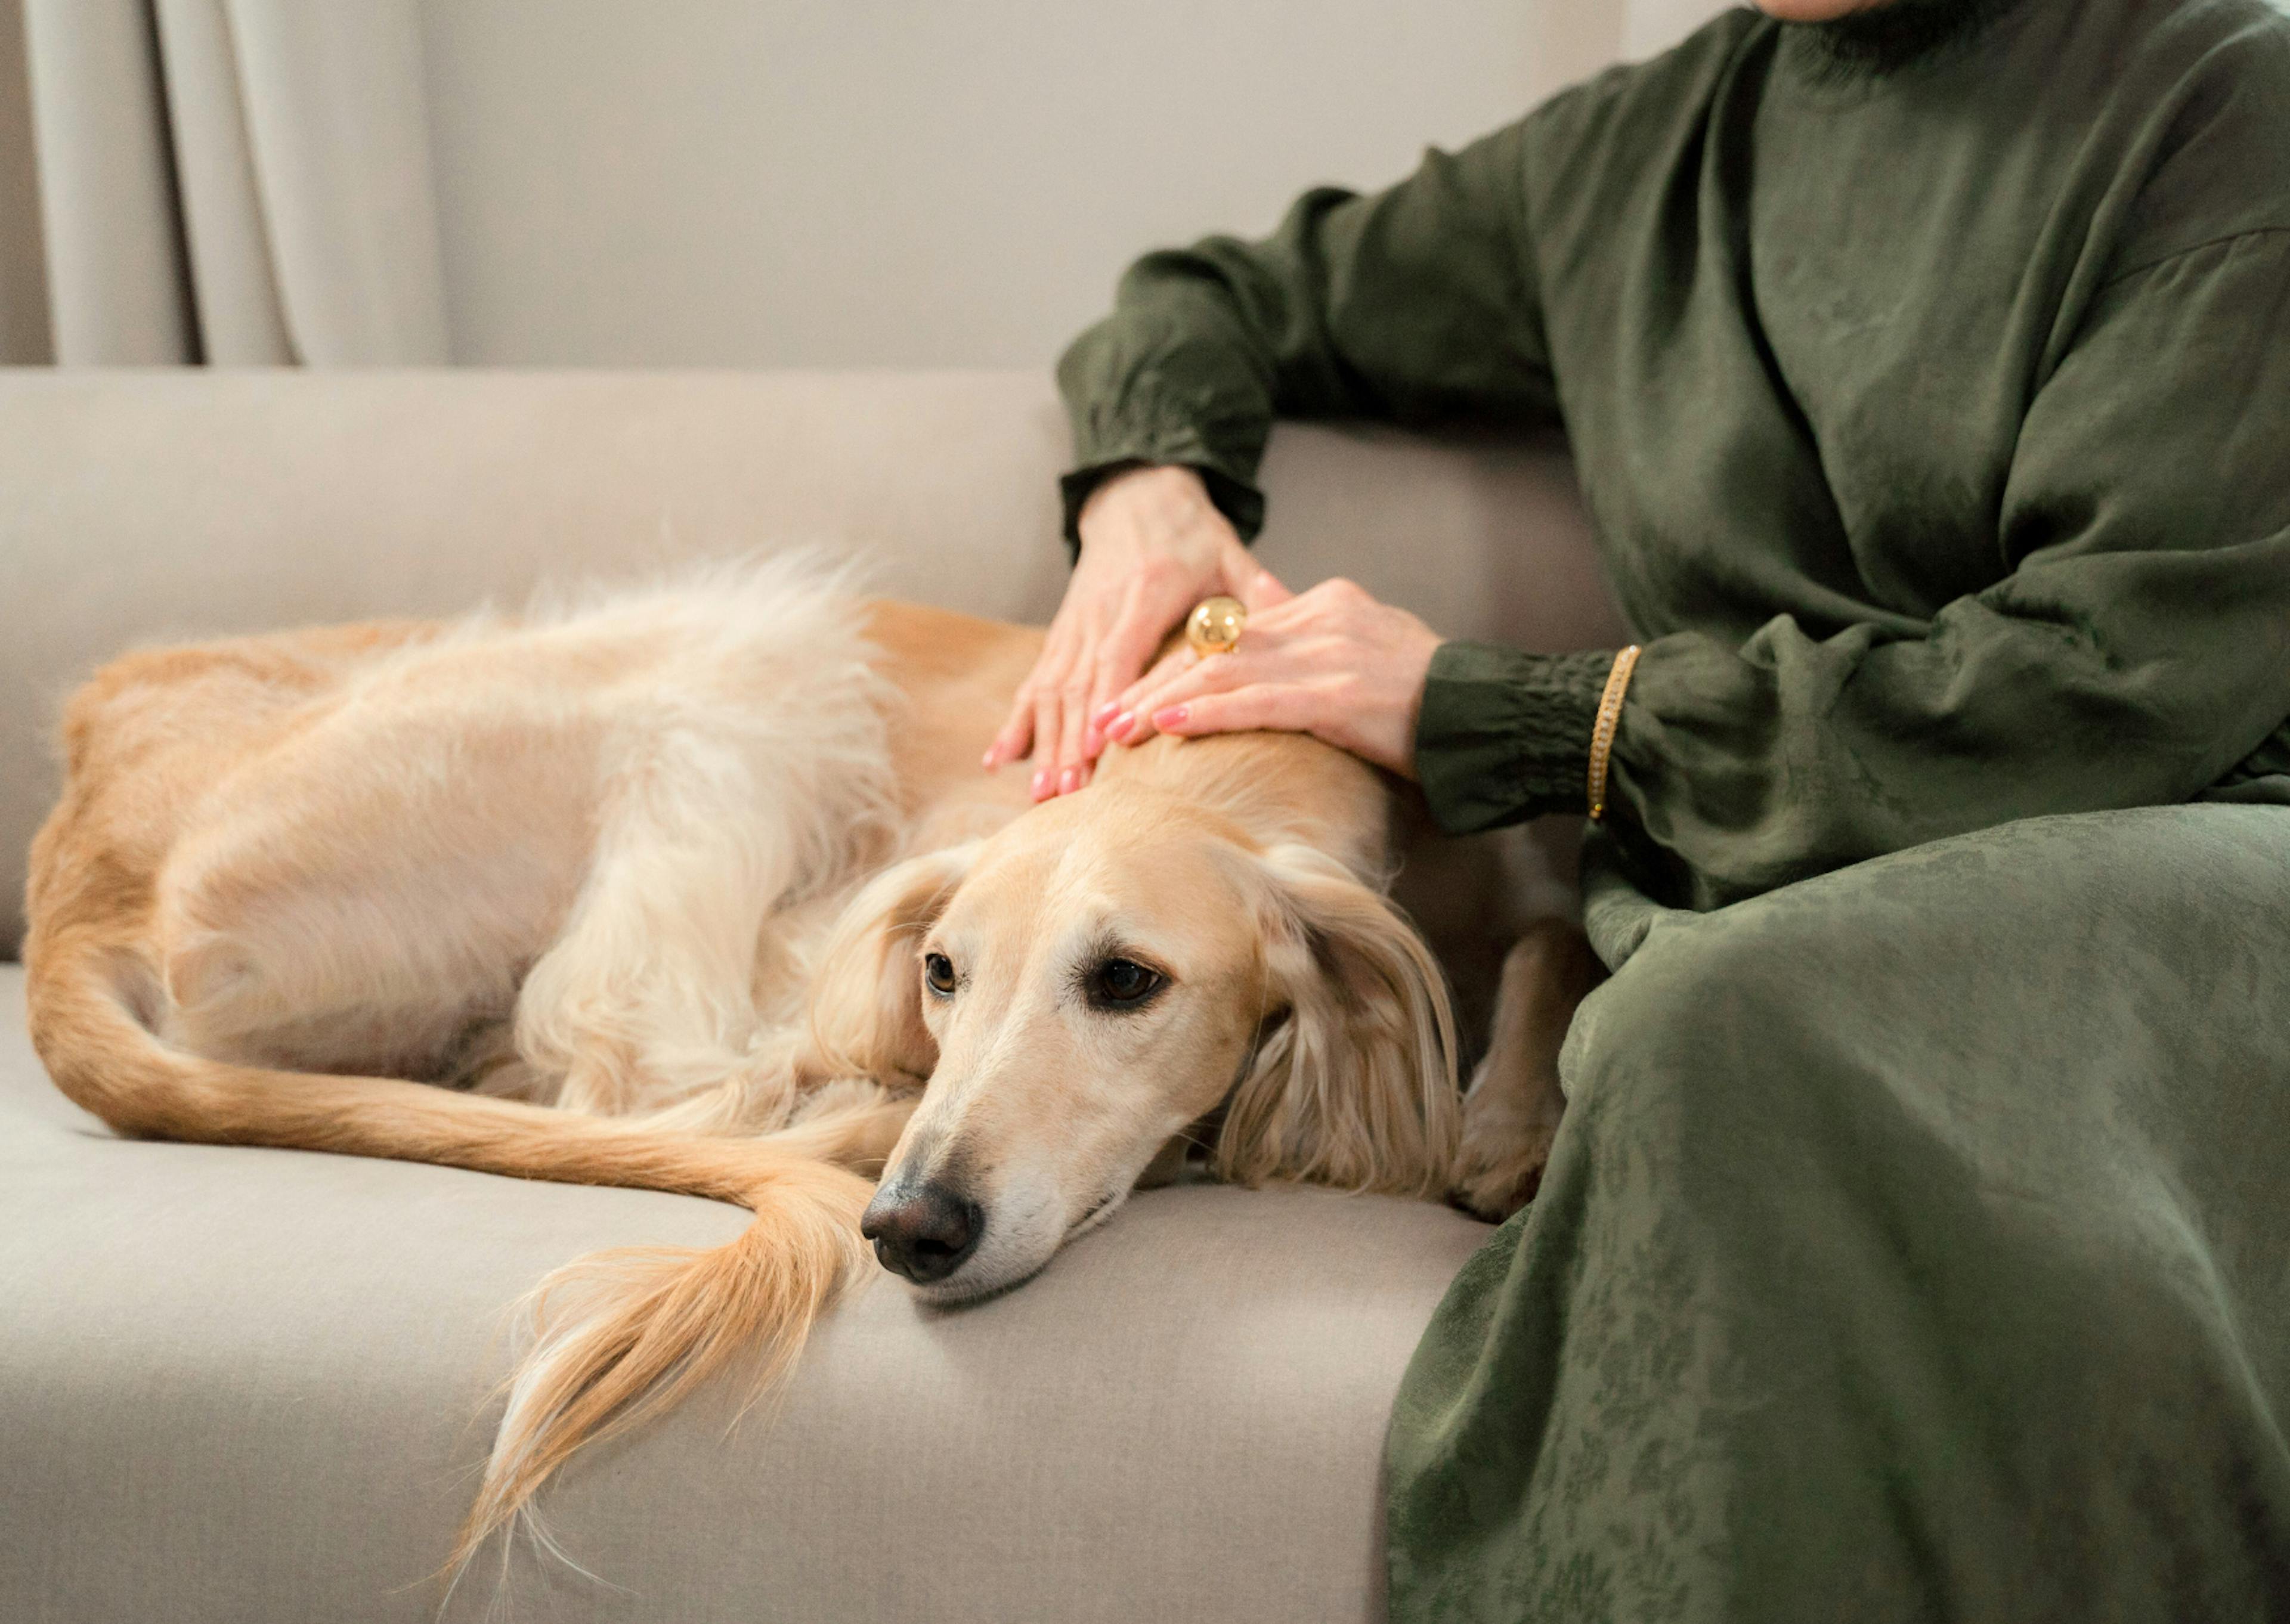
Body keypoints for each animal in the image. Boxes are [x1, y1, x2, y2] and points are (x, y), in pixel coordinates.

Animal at [22, 561, 1593, 1566]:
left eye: (1128, 981)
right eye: (943, 974)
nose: (912, 1229)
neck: (1238, 741)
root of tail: (78, 852)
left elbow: (1554, 937)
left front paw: (1508, 1122)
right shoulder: (834, 938)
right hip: (732, 661)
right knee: (618, 1062)